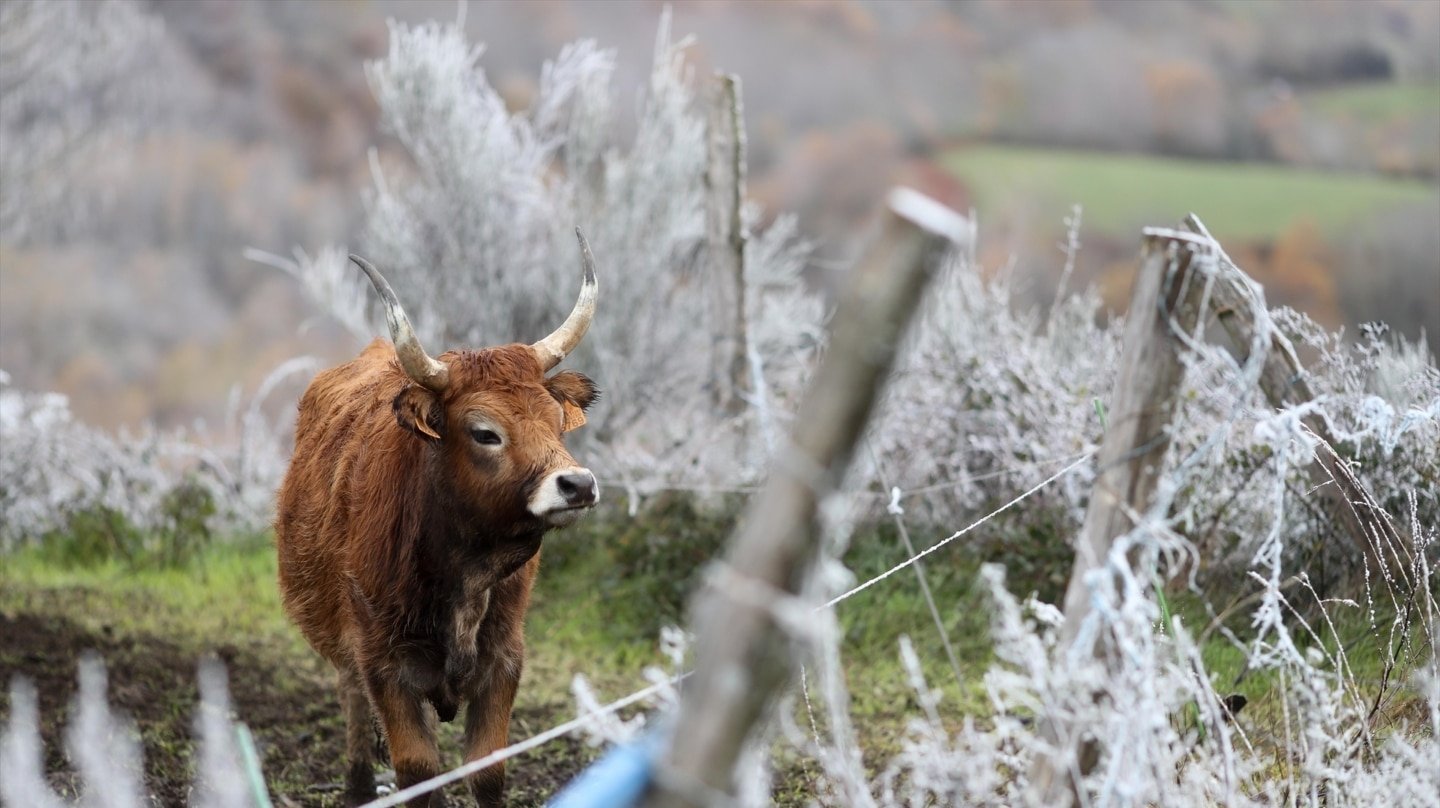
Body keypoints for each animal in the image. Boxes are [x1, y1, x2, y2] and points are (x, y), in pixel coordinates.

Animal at [274, 231, 602, 807]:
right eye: (485, 431)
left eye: (556, 420)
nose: (578, 485)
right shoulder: (385, 666)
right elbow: (419, 770)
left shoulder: (504, 659)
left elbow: (488, 769)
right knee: (351, 702)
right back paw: (358, 786)